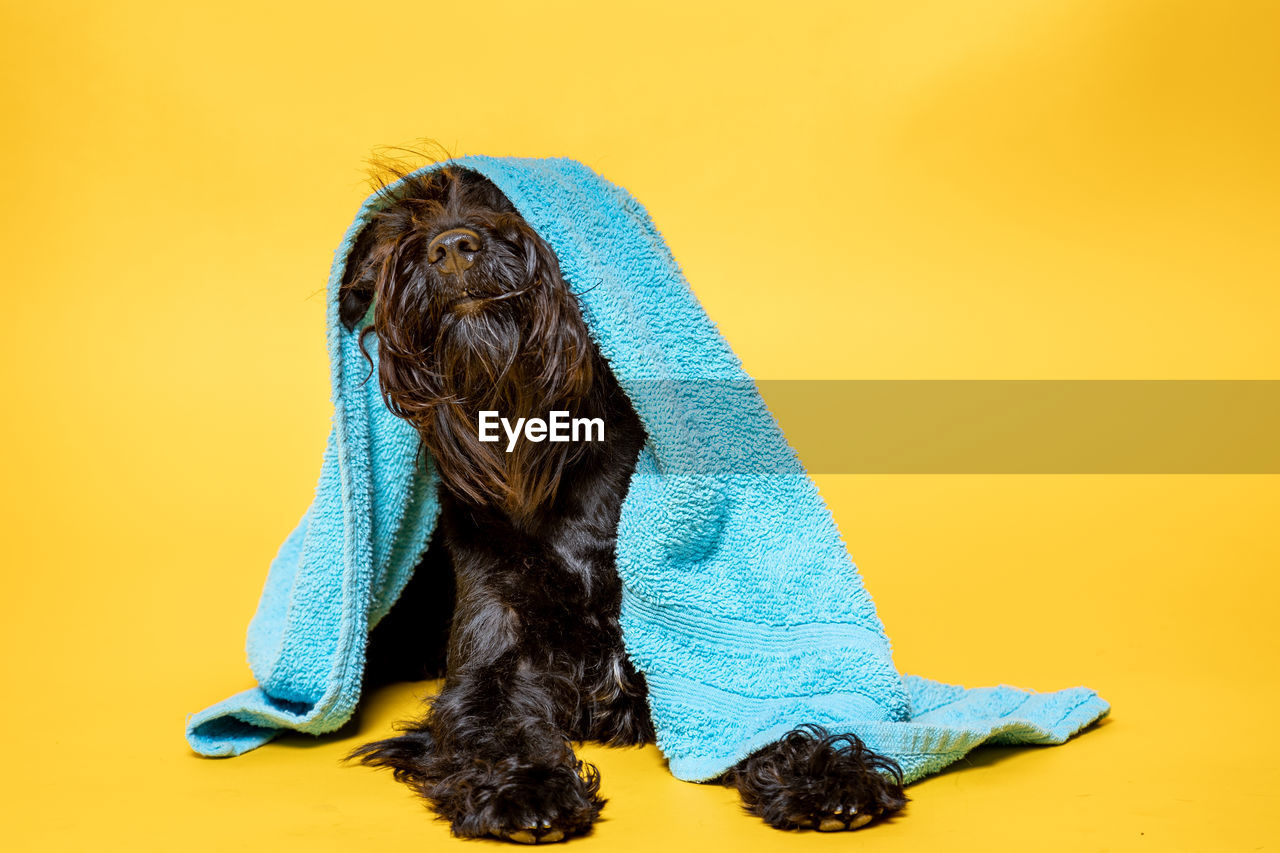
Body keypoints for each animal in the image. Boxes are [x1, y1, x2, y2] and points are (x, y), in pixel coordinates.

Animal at [335, 162, 906, 840]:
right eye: (410, 223)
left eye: (511, 205)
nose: (450, 246)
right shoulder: (490, 652)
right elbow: (488, 727)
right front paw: (526, 789)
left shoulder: (690, 662)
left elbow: (762, 717)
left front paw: (827, 774)